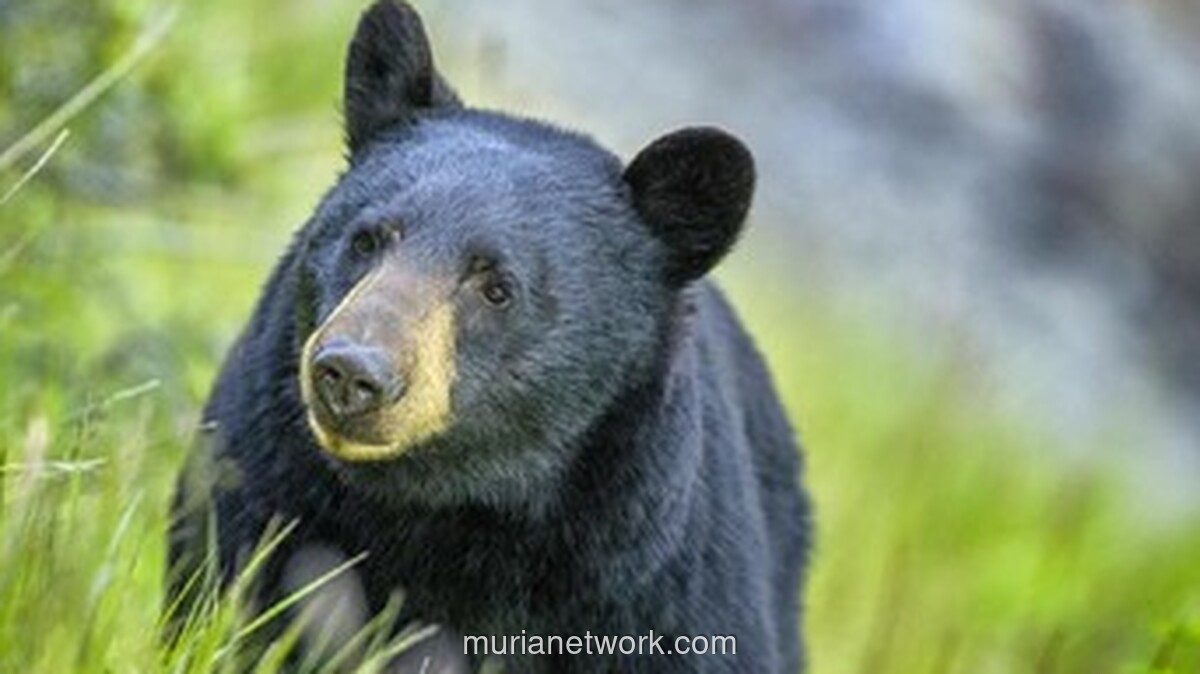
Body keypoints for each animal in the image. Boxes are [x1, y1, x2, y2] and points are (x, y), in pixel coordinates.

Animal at [168, 2, 811, 672]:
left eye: (497, 286)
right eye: (366, 239)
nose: (350, 373)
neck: (453, 505)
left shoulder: (661, 591)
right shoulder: (259, 484)